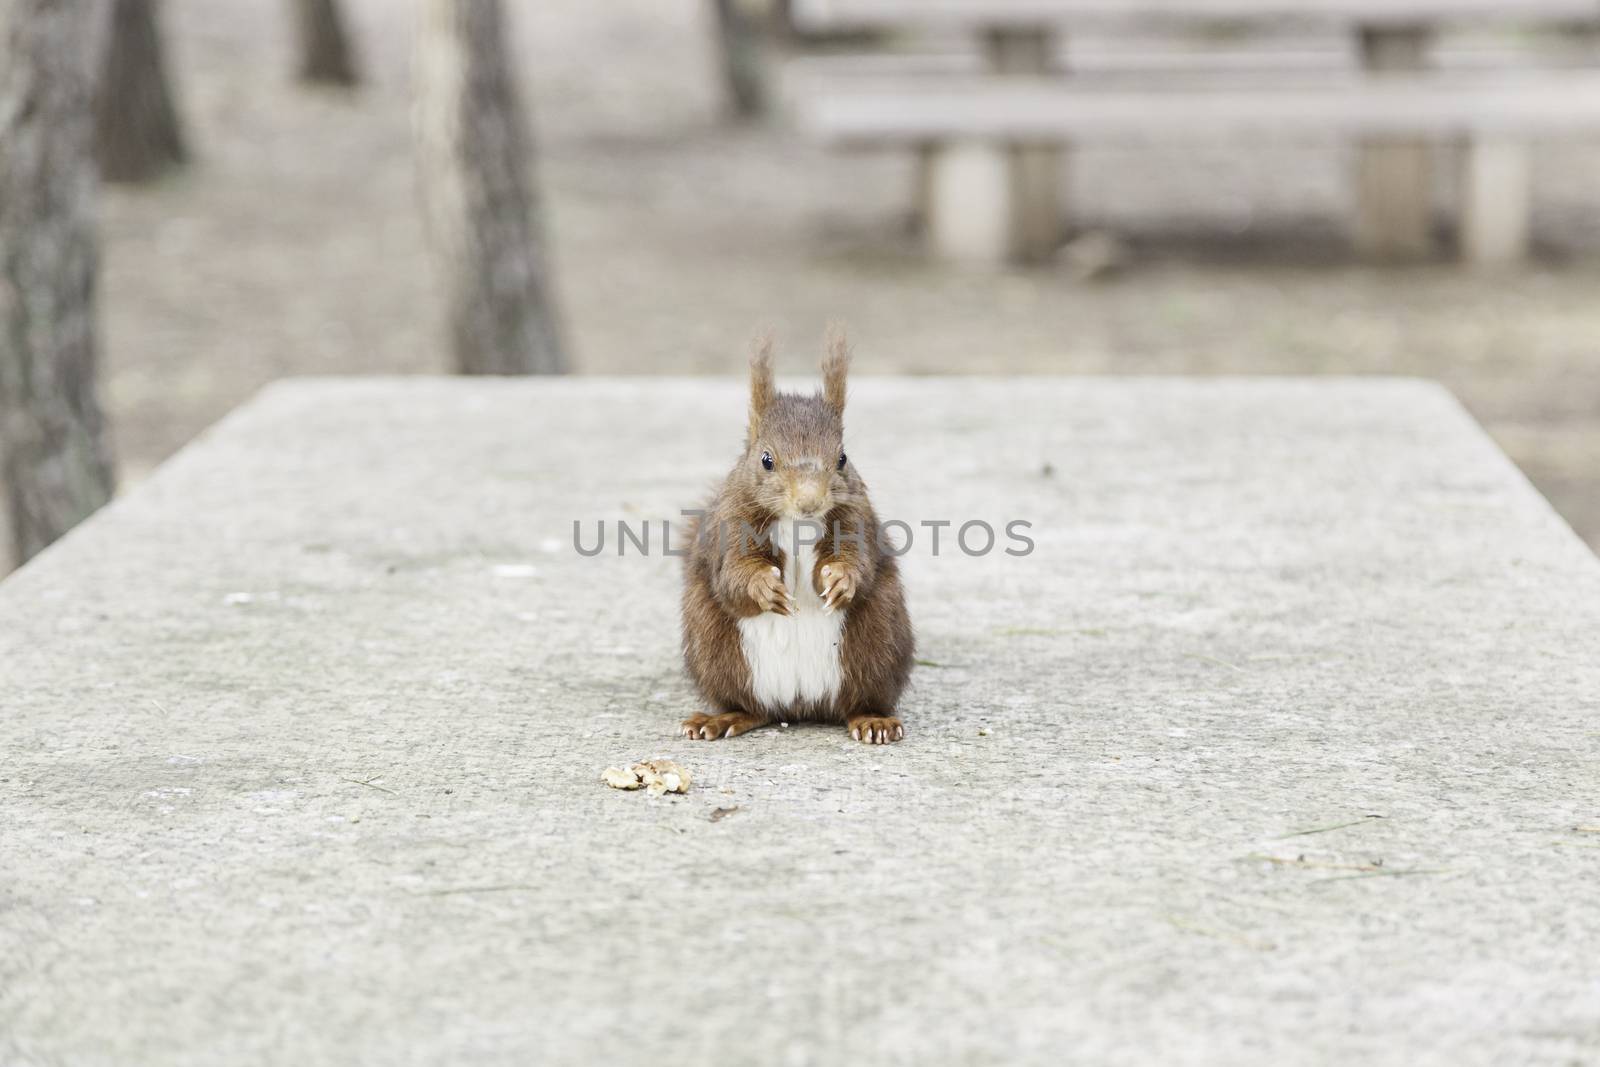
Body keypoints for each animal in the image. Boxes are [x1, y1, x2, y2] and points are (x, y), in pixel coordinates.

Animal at [678, 329, 915, 748]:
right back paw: (721, 719)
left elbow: (858, 562)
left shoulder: (857, 521)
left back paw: (873, 720)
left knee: (858, 702)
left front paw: (841, 580)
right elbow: (733, 575)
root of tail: (801, 705)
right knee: (752, 708)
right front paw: (763, 587)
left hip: (879, 644)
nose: (809, 502)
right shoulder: (729, 527)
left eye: (842, 458)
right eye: (766, 460)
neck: (797, 524)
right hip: (714, 651)